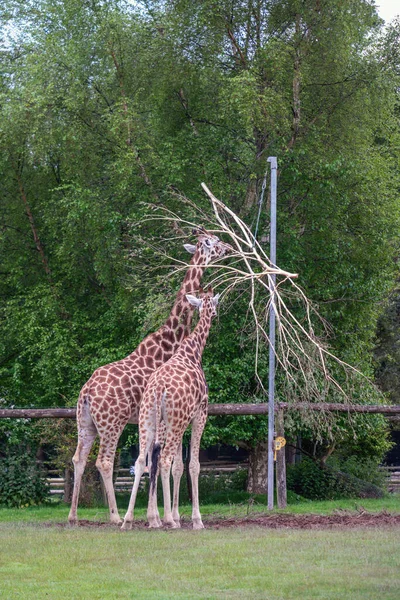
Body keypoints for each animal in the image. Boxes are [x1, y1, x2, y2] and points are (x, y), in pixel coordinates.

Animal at [122, 290, 220, 528]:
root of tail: (158, 389)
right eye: (214, 304)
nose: (216, 314)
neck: (193, 351)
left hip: (148, 420)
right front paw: (195, 520)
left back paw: (129, 519)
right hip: (172, 423)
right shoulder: (199, 414)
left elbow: (178, 466)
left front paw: (176, 515)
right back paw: (166, 520)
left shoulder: (182, 422)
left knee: (141, 461)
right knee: (163, 459)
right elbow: (193, 465)